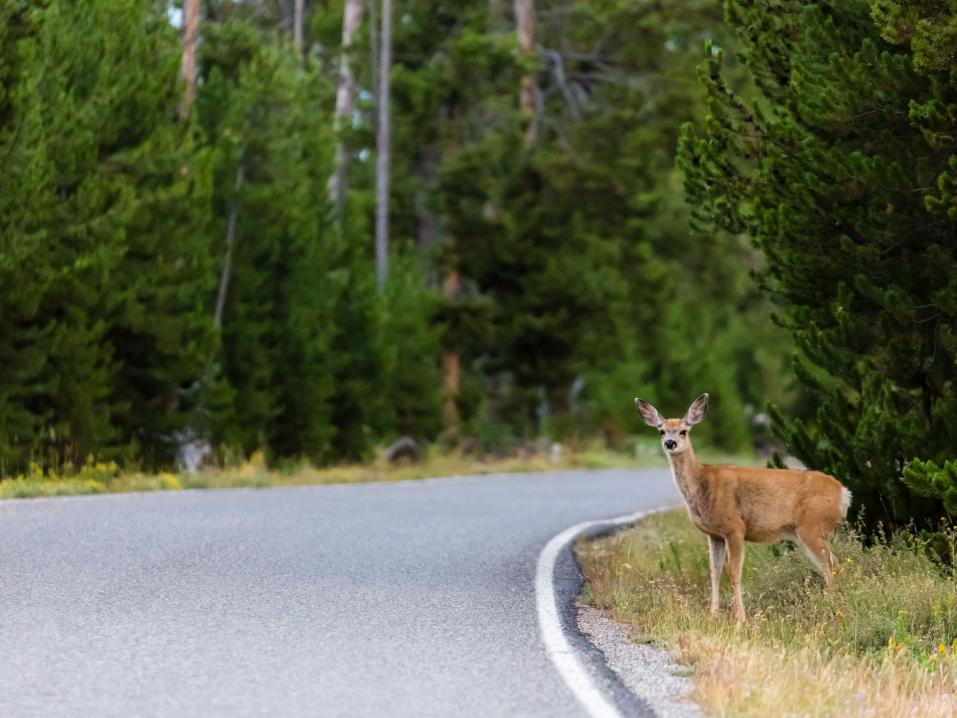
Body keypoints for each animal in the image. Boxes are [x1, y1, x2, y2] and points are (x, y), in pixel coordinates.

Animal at [636, 394, 852, 624]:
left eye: (683, 430)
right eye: (661, 430)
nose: (670, 443)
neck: (703, 485)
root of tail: (844, 493)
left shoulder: (735, 527)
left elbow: (734, 572)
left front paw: (740, 618)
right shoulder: (715, 534)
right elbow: (714, 572)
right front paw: (713, 614)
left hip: (813, 526)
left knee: (834, 566)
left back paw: (830, 609)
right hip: (806, 532)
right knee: (830, 566)